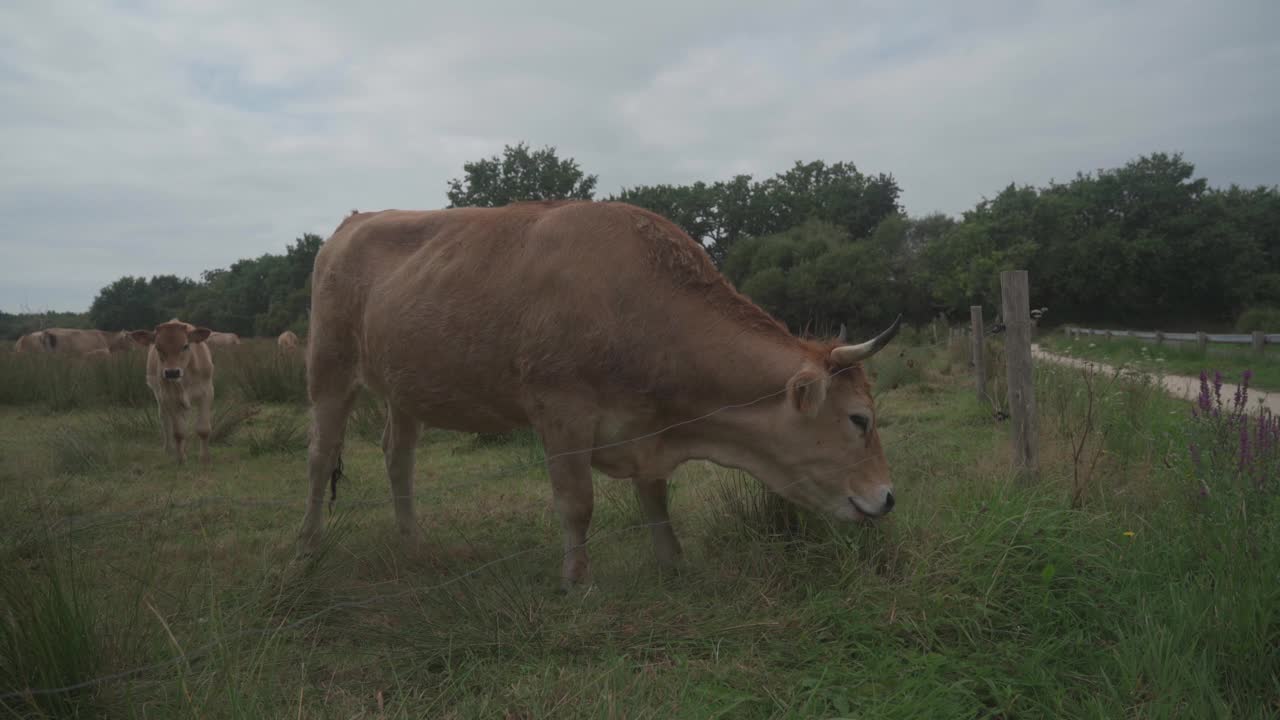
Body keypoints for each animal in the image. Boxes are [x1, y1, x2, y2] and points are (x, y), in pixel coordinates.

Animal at [130, 319, 217, 466]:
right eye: (158, 347)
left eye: (185, 346)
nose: (172, 372)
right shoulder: (170, 397)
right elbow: (178, 432)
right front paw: (181, 459)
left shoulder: (206, 392)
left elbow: (203, 429)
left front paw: (205, 459)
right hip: (160, 397)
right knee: (166, 421)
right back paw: (170, 449)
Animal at [296, 198, 901, 586]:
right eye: (859, 420)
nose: (889, 498)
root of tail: (354, 221)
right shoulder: (561, 412)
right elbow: (577, 504)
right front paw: (577, 581)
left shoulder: (648, 425)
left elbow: (655, 498)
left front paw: (672, 562)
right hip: (328, 365)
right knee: (320, 456)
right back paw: (307, 549)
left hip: (405, 387)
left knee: (398, 457)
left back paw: (413, 543)